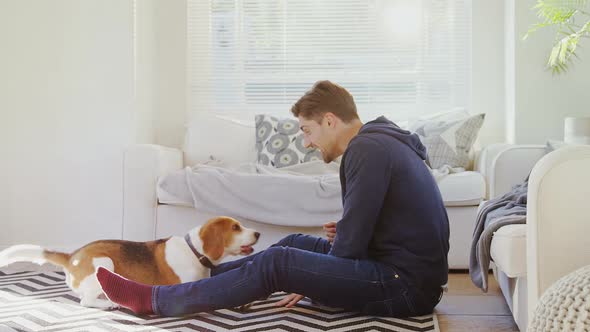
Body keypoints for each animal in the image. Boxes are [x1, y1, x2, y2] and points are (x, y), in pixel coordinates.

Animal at [0, 217, 260, 310]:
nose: (258, 233)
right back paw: (108, 304)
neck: (194, 251)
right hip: (104, 263)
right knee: (85, 301)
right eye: (236, 227)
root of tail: (73, 255)